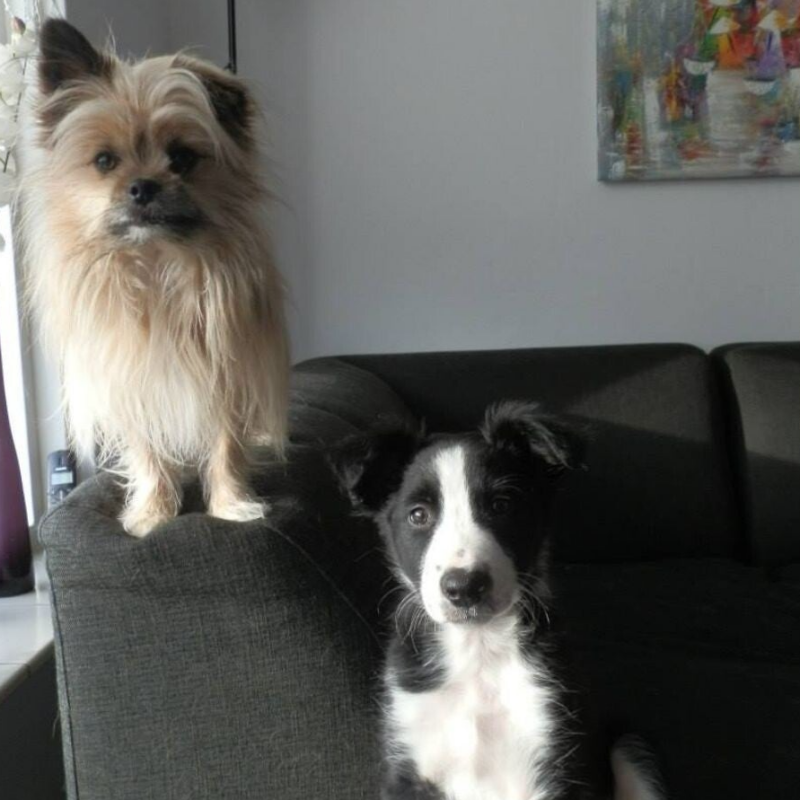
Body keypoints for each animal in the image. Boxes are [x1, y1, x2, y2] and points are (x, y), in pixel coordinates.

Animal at [20, 19, 289, 536]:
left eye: (181, 158)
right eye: (105, 161)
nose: (143, 186)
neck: (159, 266)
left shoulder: (227, 376)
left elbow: (226, 445)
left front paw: (230, 506)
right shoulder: (135, 383)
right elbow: (147, 452)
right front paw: (154, 513)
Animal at [332, 401, 665, 800]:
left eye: (502, 505)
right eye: (418, 515)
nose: (464, 587)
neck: (479, 651)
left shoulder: (558, 756)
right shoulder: (408, 768)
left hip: (629, 747)